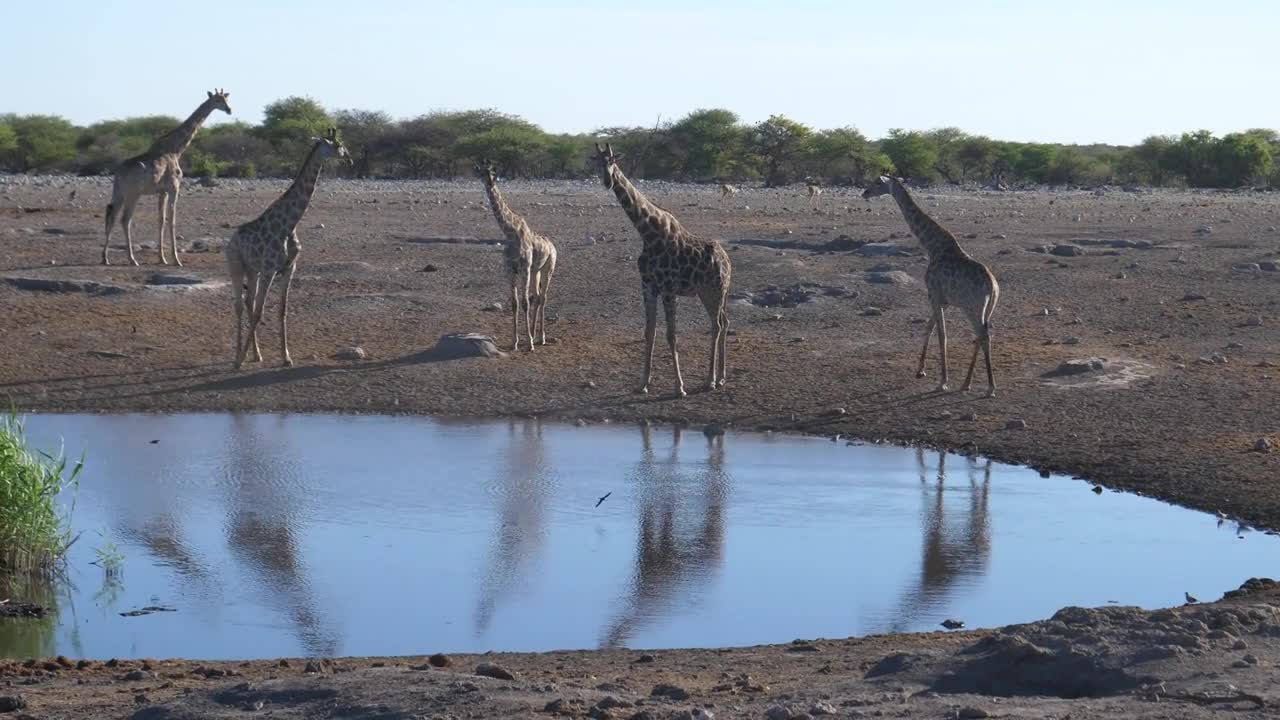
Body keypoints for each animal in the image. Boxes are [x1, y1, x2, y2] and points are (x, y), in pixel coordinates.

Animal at [102, 89, 232, 266]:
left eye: (226, 99)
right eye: (218, 100)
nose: (229, 110)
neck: (176, 149)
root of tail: (119, 173)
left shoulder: (162, 191)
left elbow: (161, 220)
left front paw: (162, 258)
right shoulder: (174, 188)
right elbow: (172, 220)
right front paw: (176, 259)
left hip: (119, 192)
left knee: (111, 215)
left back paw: (105, 258)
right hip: (133, 193)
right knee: (125, 219)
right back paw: (132, 259)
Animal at [222, 126, 348, 368]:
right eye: (337, 144)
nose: (348, 156)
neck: (289, 225)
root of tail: (231, 240)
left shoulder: (289, 269)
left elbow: (282, 311)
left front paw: (286, 357)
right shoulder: (270, 269)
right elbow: (260, 312)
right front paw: (240, 359)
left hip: (252, 270)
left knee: (249, 302)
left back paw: (256, 354)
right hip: (236, 266)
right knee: (240, 305)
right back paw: (237, 357)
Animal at [473, 158, 558, 348]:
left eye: (492, 172)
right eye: (481, 172)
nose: (489, 182)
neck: (510, 232)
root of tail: (553, 246)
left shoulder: (524, 268)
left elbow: (525, 302)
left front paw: (530, 343)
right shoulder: (509, 269)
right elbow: (515, 303)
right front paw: (515, 341)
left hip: (548, 268)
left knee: (543, 297)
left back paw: (540, 337)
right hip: (535, 271)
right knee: (537, 296)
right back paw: (534, 334)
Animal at [591, 142, 732, 394]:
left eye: (613, 161)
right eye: (597, 162)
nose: (607, 181)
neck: (648, 234)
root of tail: (727, 261)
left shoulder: (668, 288)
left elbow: (671, 334)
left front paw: (679, 387)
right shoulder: (648, 286)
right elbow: (650, 332)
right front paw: (643, 384)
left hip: (712, 291)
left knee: (716, 325)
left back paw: (710, 381)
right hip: (717, 293)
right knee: (725, 323)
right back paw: (722, 377)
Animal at [860, 176, 998, 394]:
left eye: (877, 182)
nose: (864, 192)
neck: (932, 247)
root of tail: (993, 286)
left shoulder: (933, 294)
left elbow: (941, 335)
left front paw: (942, 382)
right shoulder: (942, 300)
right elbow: (928, 327)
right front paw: (920, 371)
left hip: (972, 308)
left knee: (984, 335)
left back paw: (990, 387)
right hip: (987, 309)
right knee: (980, 335)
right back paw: (966, 383)